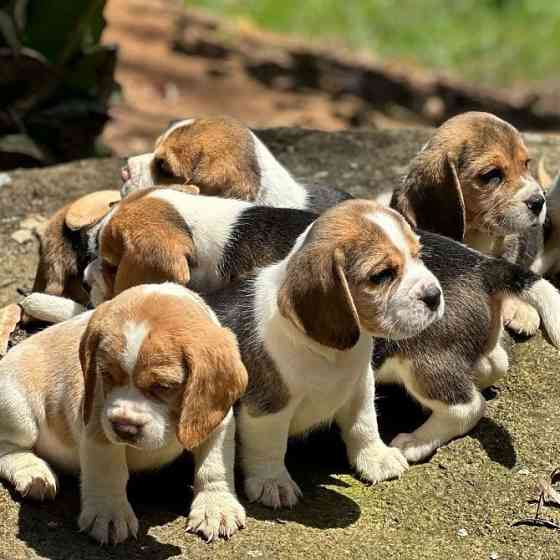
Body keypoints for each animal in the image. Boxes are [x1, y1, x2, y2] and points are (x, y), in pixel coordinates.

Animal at [0, 284, 247, 544]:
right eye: (106, 374)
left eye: (164, 386)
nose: (124, 428)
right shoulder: (97, 426)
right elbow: (109, 469)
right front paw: (109, 514)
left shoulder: (217, 422)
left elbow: (214, 464)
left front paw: (217, 507)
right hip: (19, 412)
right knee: (8, 448)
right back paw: (33, 472)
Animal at [79, 190, 560, 466]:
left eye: (110, 261)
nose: (84, 280)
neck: (216, 232)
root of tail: (483, 265)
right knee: (493, 363)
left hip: (426, 362)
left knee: (465, 407)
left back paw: (416, 441)